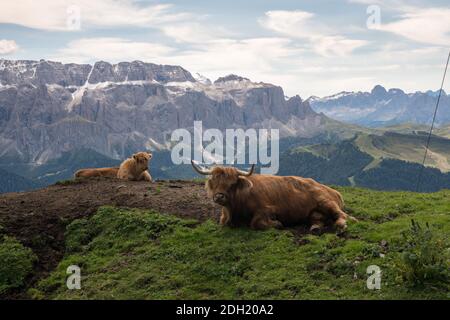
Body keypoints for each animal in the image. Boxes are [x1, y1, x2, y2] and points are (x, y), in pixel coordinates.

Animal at [190, 160, 356, 232]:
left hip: (326, 202)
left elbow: (256, 223)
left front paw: (276, 224)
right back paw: (315, 227)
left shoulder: (268, 209)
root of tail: (334, 191)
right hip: (315, 212)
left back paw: (341, 224)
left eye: (232, 184)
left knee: (343, 216)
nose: (219, 197)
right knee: (318, 219)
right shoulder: (224, 219)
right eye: (215, 182)